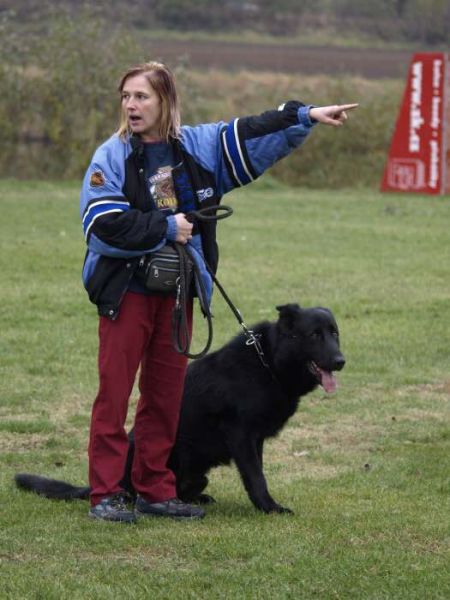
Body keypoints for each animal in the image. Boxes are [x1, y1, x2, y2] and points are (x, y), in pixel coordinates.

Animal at [15, 303, 345, 514]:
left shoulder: (256, 439)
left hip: (199, 473)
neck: (269, 362)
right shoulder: (241, 435)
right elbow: (256, 476)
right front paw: (269, 507)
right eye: (314, 335)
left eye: (334, 333)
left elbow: (257, 472)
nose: (341, 361)